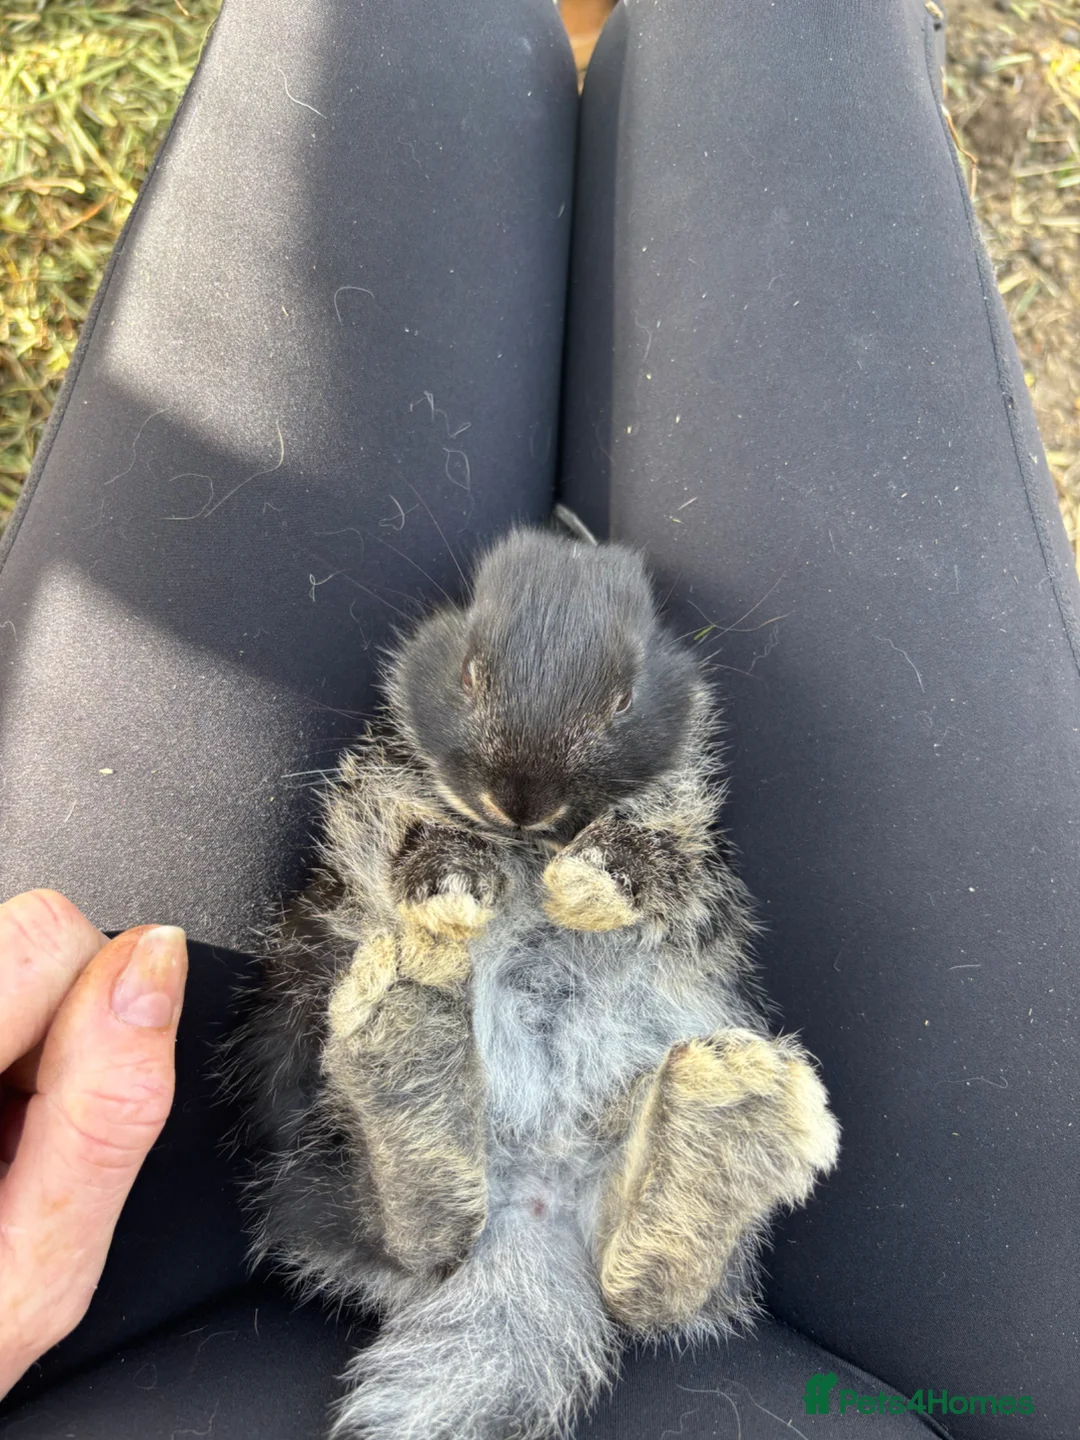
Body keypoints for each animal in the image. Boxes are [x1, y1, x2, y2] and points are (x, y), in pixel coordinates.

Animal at [227, 515, 841, 1440]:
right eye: (471, 669)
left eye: (623, 696)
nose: (520, 799)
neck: (527, 848)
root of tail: (532, 1212)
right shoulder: (380, 788)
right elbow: (403, 827)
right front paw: (453, 891)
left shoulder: (692, 845)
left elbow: (658, 856)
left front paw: (583, 890)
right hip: (302, 1068)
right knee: (407, 1232)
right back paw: (408, 1016)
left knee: (639, 1295)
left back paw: (734, 1108)